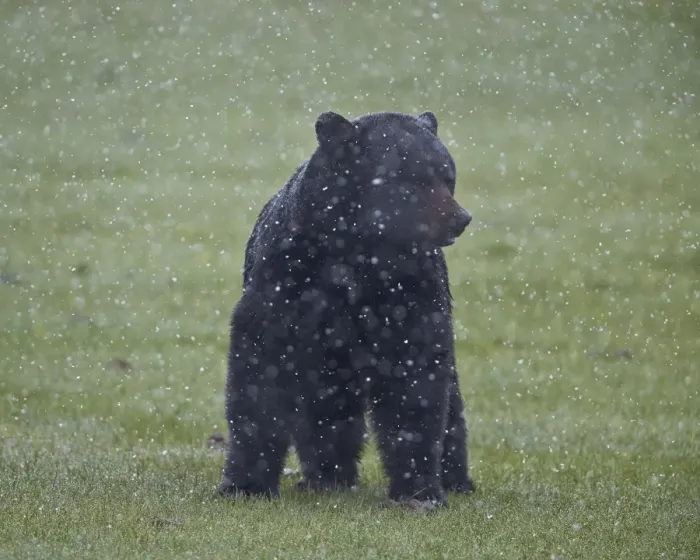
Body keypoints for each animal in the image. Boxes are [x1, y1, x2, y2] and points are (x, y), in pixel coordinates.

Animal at [217, 110, 475, 508]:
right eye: (413, 180)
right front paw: (245, 484)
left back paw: (456, 478)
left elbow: (417, 386)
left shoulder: (412, 296)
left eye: (448, 177)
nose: (461, 218)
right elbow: (259, 376)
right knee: (325, 410)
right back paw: (326, 476)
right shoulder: (284, 285)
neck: (357, 253)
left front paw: (420, 493)